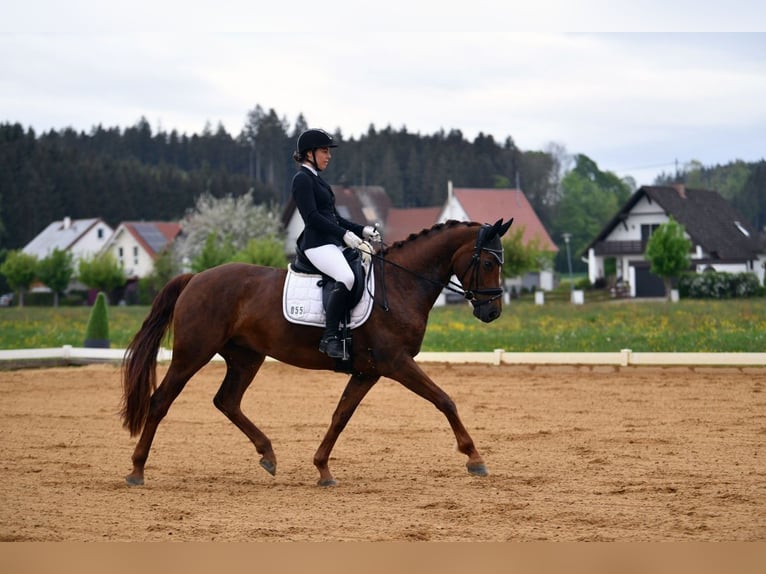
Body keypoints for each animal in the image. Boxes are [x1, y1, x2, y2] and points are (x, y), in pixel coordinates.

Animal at [121, 218, 513, 487]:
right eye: (488, 263)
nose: (492, 312)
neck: (401, 284)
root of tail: (195, 278)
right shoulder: (397, 363)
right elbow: (445, 400)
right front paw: (475, 458)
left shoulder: (367, 371)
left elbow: (340, 416)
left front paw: (323, 468)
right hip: (194, 353)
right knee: (161, 401)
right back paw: (137, 469)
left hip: (246, 357)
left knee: (227, 401)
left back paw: (268, 455)